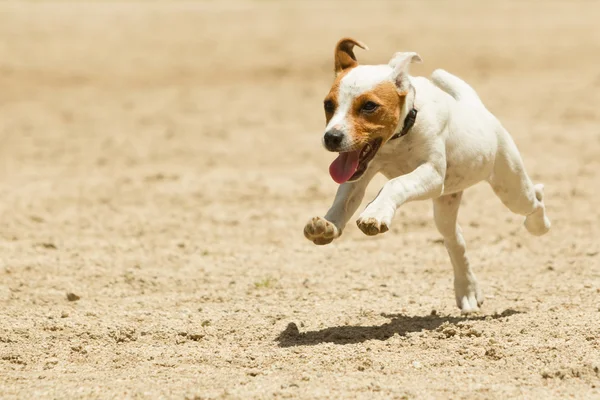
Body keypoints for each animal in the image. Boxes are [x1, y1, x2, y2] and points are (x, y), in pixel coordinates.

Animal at [302, 38, 552, 312]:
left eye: (369, 106)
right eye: (328, 105)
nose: (331, 137)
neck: (398, 138)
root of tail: (477, 107)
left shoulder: (432, 175)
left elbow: (395, 184)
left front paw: (375, 214)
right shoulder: (359, 174)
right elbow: (343, 201)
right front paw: (328, 225)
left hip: (510, 187)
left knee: (533, 199)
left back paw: (539, 224)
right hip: (446, 205)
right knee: (455, 240)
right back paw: (467, 290)